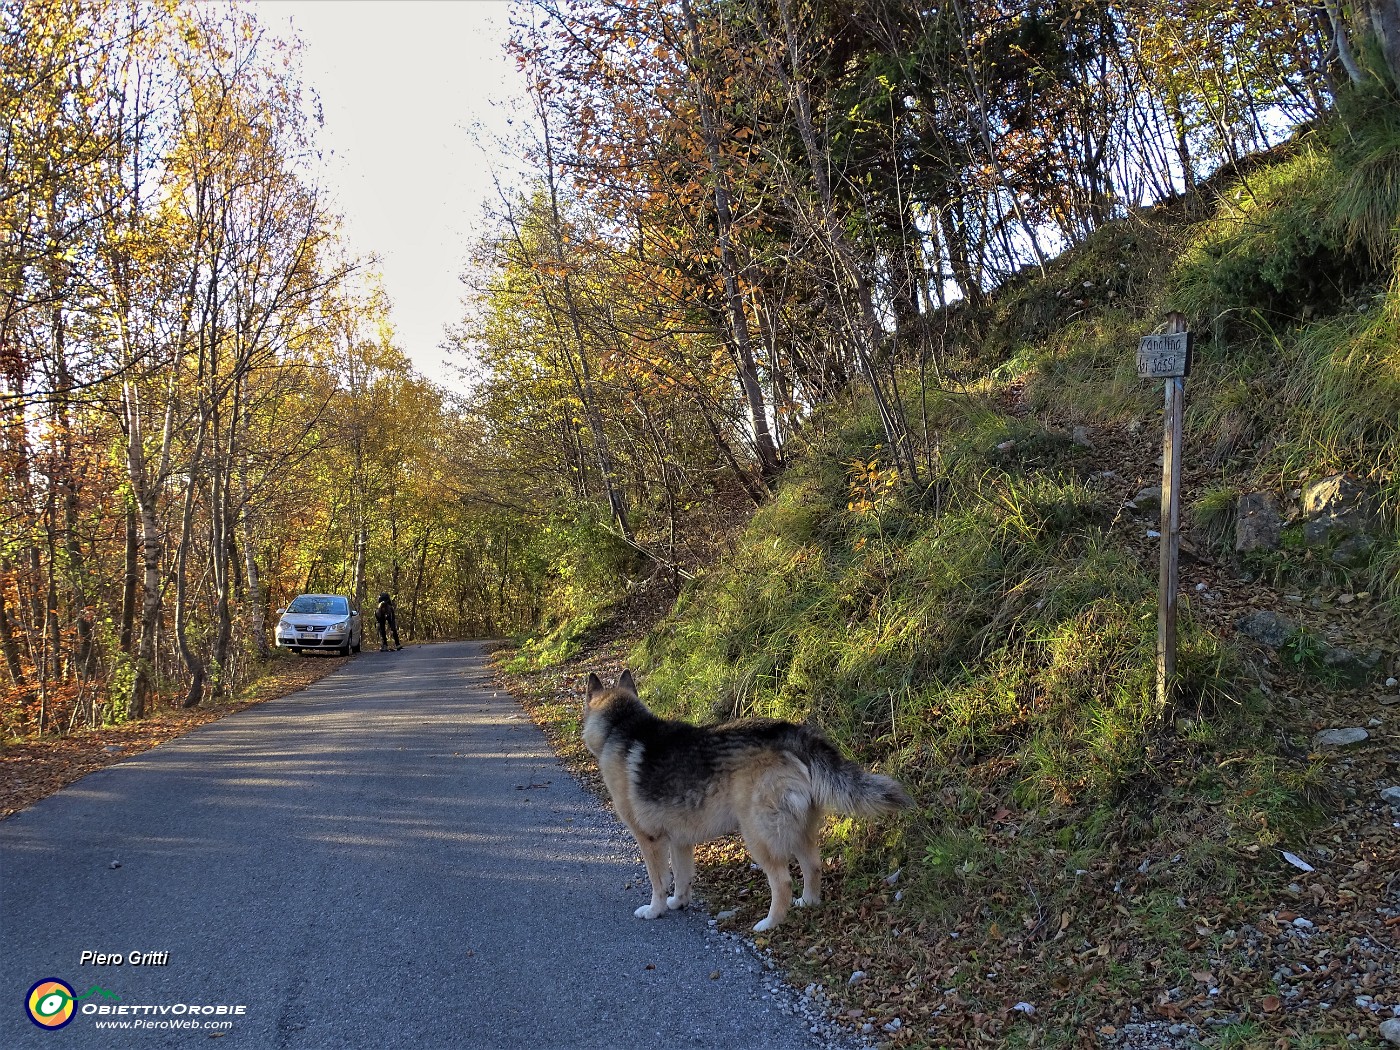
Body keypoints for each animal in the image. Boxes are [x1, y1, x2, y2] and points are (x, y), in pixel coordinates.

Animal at [576, 669, 912, 935]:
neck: (621, 726)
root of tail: (790, 733)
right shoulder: (680, 841)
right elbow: (682, 879)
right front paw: (678, 903)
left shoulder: (651, 841)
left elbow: (659, 882)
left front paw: (655, 909)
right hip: (798, 829)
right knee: (813, 867)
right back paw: (808, 902)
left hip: (758, 836)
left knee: (782, 882)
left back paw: (771, 923)